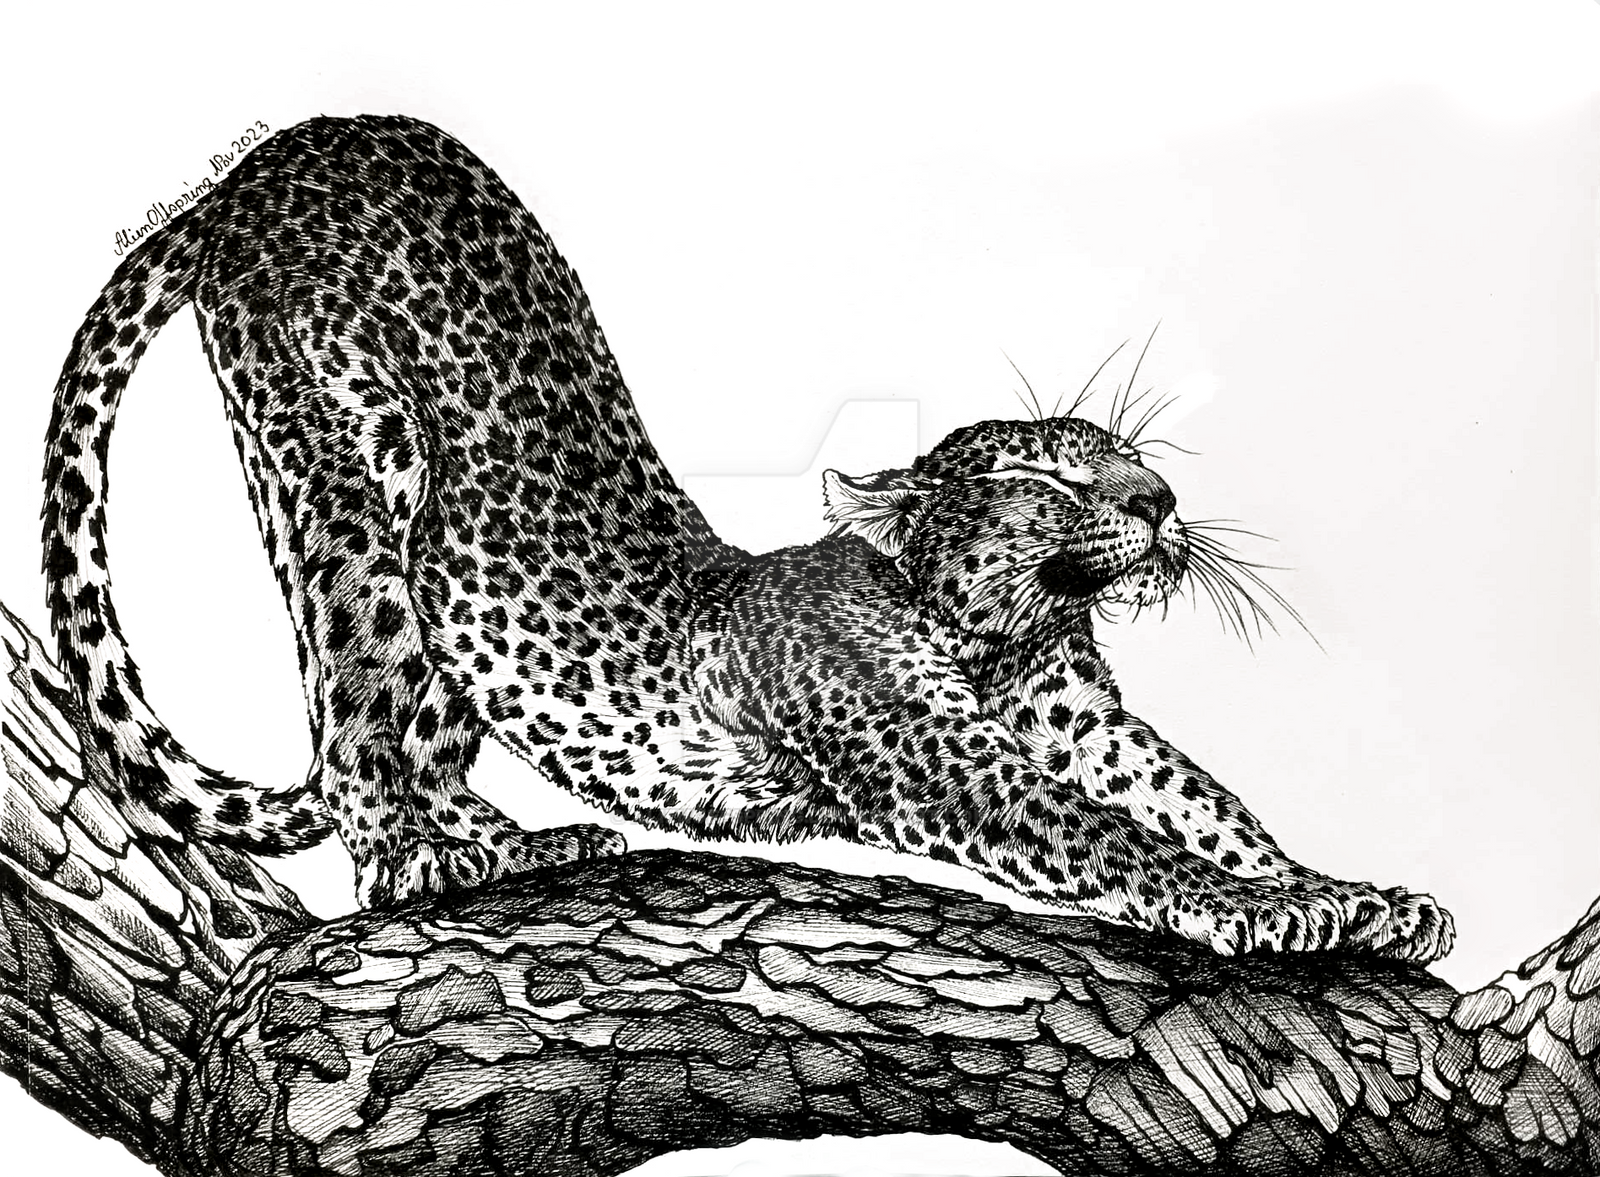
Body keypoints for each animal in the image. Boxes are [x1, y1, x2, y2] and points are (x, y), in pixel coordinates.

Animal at [42, 113, 1451, 961]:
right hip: (348, 500)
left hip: (446, 599)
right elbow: (1116, 836)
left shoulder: (1084, 723)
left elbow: (1201, 802)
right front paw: (1279, 911)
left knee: (429, 735)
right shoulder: (936, 757)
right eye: (1039, 470)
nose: (1157, 502)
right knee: (355, 737)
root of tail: (267, 157)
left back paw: (517, 840)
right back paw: (427, 862)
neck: (1001, 636)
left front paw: (1352, 893)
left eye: (1125, 450)